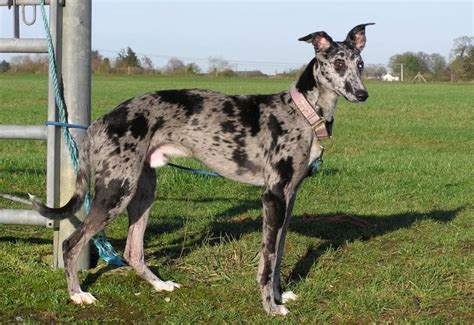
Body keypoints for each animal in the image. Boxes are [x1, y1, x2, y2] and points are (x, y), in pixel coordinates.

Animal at [31, 22, 376, 314]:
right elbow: (266, 261)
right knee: (72, 243)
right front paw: (271, 306)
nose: (362, 94)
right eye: (339, 63)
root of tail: (99, 122)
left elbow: (277, 255)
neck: (303, 111)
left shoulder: (289, 198)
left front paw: (280, 295)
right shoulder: (274, 196)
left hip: (143, 191)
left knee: (133, 251)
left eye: (360, 64)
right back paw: (78, 294)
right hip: (116, 192)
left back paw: (160, 285)